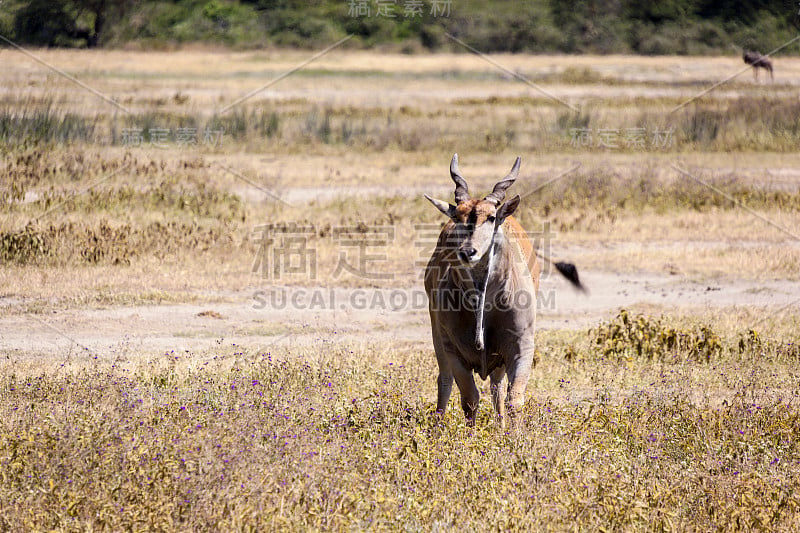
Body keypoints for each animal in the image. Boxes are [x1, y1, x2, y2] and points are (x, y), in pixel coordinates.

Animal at [422, 155, 584, 428]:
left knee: (496, 387)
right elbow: (469, 399)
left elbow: (513, 399)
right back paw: (437, 427)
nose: (468, 252)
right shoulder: (453, 350)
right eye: (458, 217)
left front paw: (511, 435)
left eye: (490, 217)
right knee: (444, 380)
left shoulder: (521, 348)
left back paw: (501, 426)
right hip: (438, 337)